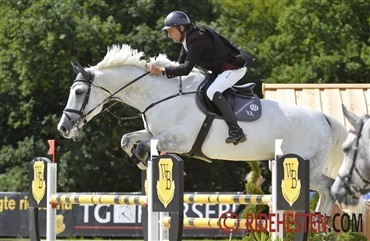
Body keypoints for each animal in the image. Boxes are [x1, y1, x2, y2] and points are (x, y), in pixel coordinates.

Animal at [57, 44, 350, 216]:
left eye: (79, 92)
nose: (63, 128)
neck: (159, 94)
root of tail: (324, 118)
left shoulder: (179, 139)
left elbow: (145, 146)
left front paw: (149, 162)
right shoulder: (154, 133)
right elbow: (128, 139)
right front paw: (142, 163)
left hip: (306, 166)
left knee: (329, 188)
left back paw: (322, 224)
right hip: (284, 163)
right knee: (326, 191)